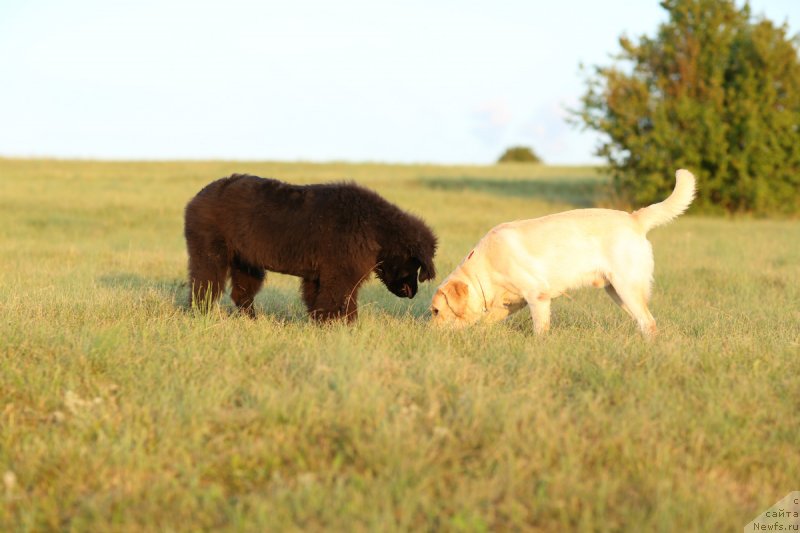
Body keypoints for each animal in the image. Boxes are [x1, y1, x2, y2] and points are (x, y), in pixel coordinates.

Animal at [184, 175, 438, 320]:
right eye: (413, 264)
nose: (413, 293)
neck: (375, 227)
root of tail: (196, 197)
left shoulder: (319, 273)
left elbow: (318, 299)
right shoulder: (341, 271)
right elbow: (339, 300)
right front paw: (339, 326)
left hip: (246, 261)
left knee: (242, 293)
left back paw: (251, 319)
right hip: (210, 249)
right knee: (205, 284)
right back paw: (202, 313)